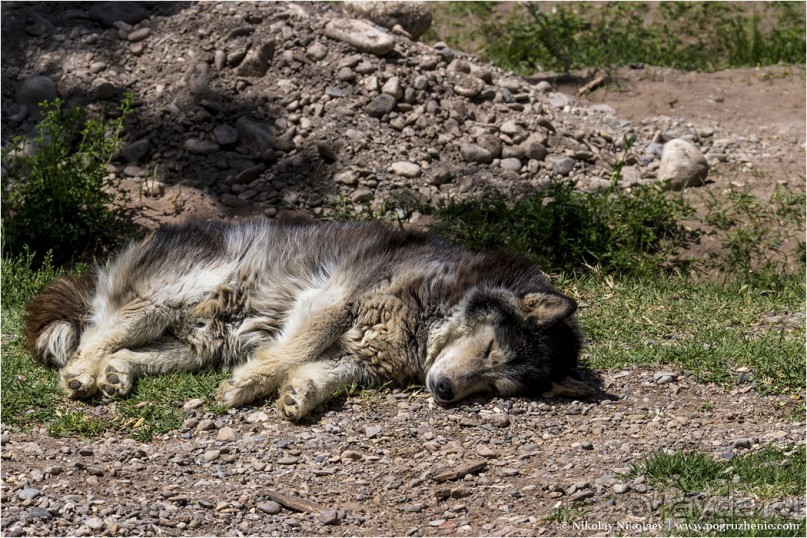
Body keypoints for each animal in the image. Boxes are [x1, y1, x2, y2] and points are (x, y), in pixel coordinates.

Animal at [26, 219, 592, 418]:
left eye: (498, 386)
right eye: (492, 350)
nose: (444, 391)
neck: (432, 310)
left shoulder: (359, 357)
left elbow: (321, 374)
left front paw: (300, 394)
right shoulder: (331, 302)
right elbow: (289, 353)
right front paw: (249, 385)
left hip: (198, 343)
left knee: (126, 350)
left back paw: (116, 374)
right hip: (166, 302)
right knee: (92, 338)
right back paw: (81, 375)